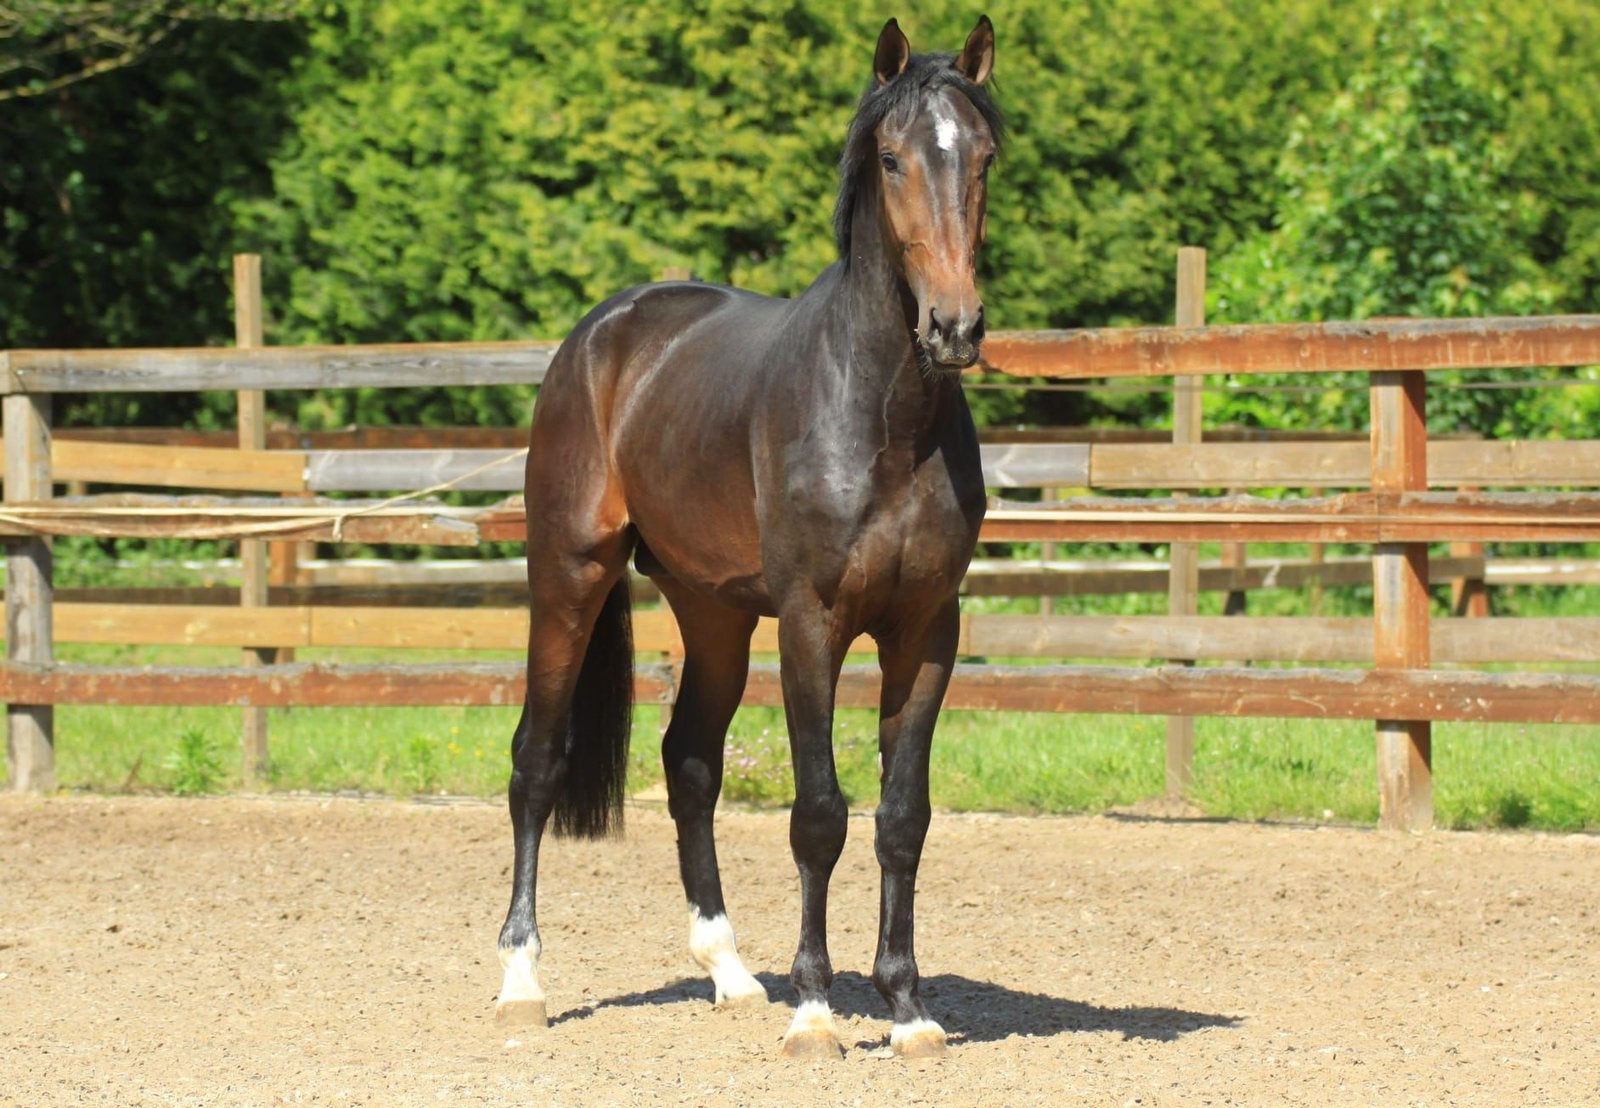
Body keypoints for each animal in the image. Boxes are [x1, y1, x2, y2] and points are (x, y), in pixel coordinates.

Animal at [495, 15, 1001, 1060]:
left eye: (981, 157)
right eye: (892, 159)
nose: (954, 326)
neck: (884, 414)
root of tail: (602, 333)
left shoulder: (927, 630)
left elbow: (903, 816)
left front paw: (908, 1010)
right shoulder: (811, 623)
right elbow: (820, 814)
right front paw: (816, 1010)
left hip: (714, 615)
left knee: (690, 763)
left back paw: (729, 972)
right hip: (568, 576)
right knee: (537, 760)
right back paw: (522, 979)